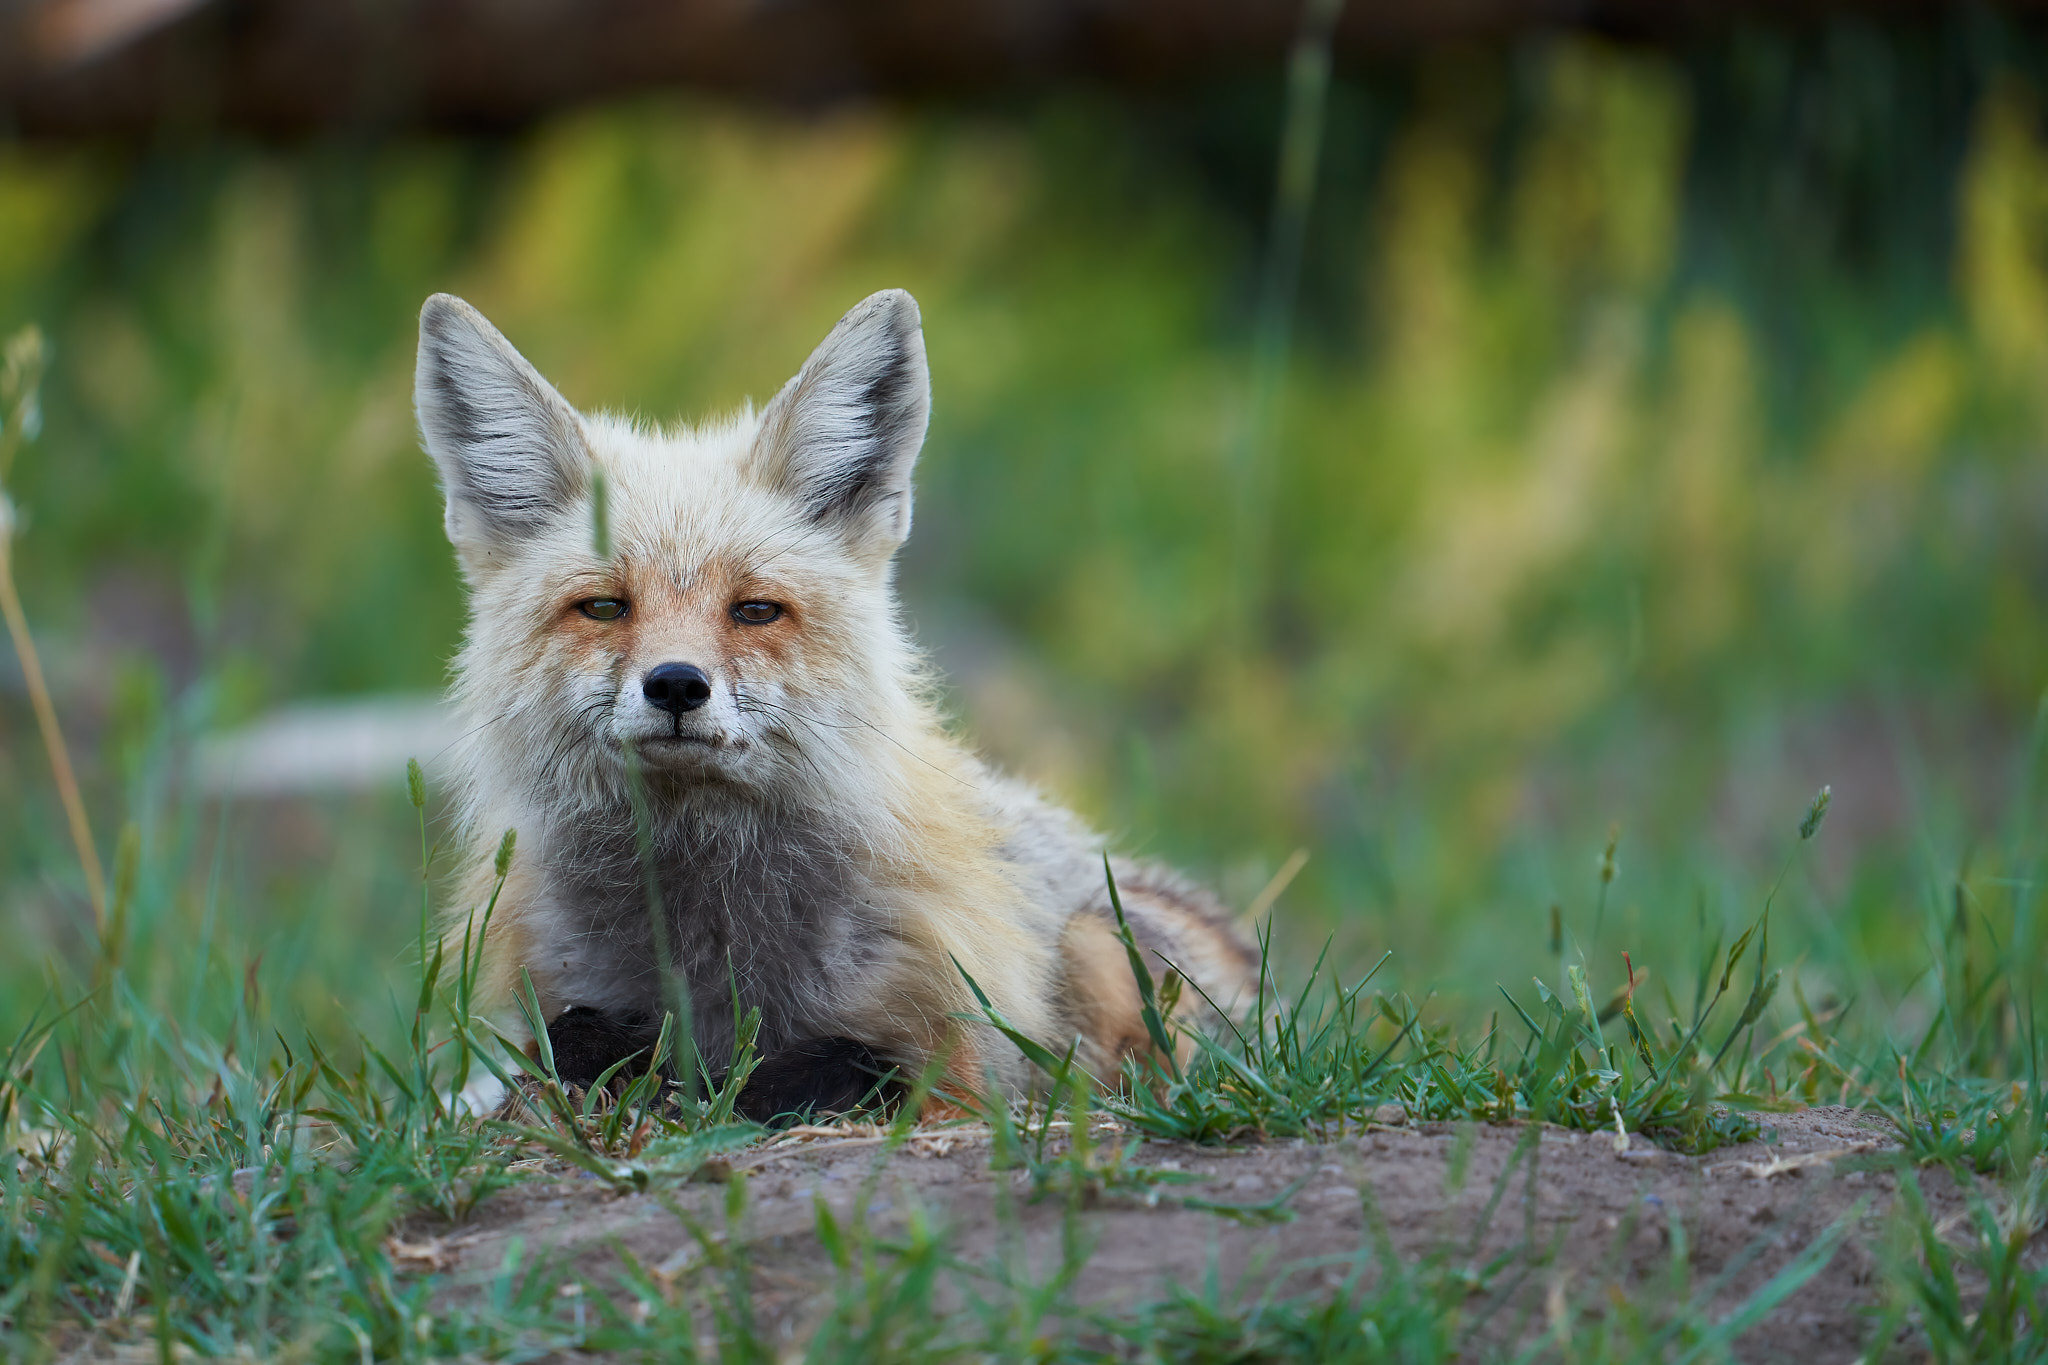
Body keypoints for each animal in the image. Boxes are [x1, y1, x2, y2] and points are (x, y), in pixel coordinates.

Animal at [415, 287, 1255, 1123]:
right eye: (603, 607)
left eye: (755, 610)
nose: (677, 684)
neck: (710, 940)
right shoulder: (553, 993)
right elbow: (566, 1039)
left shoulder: (958, 1047)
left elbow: (865, 1066)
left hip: (1095, 945)